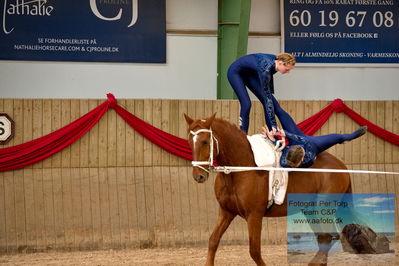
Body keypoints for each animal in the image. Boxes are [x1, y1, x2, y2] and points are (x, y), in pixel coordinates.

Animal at [185, 113, 354, 264]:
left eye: (205, 142)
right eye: (189, 142)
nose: (199, 176)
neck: (238, 169)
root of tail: (341, 166)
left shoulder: (254, 215)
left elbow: (254, 251)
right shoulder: (226, 212)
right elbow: (213, 241)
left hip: (322, 208)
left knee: (329, 236)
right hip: (310, 210)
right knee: (324, 237)